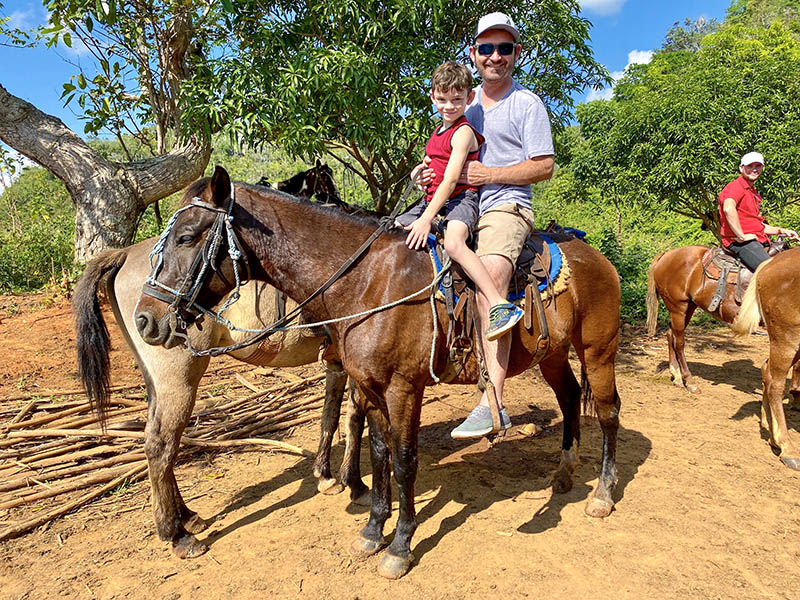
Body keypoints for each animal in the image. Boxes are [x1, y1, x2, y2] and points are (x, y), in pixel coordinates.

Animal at [130, 166, 624, 580]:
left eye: (187, 236)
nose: (145, 319)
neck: (368, 281)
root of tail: (593, 254)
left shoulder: (404, 389)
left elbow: (404, 462)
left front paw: (400, 546)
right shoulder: (368, 386)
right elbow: (378, 451)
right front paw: (371, 530)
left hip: (597, 350)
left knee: (607, 411)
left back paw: (601, 494)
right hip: (552, 354)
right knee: (569, 398)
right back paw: (563, 475)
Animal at [644, 244, 800, 394]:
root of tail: (667, 255)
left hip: (688, 307)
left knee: (671, 334)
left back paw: (676, 376)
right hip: (678, 307)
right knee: (679, 343)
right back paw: (690, 381)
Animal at [736, 246, 800, 472]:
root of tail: (770, 264)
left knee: (766, 371)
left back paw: (772, 434)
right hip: (787, 338)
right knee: (775, 384)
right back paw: (787, 448)